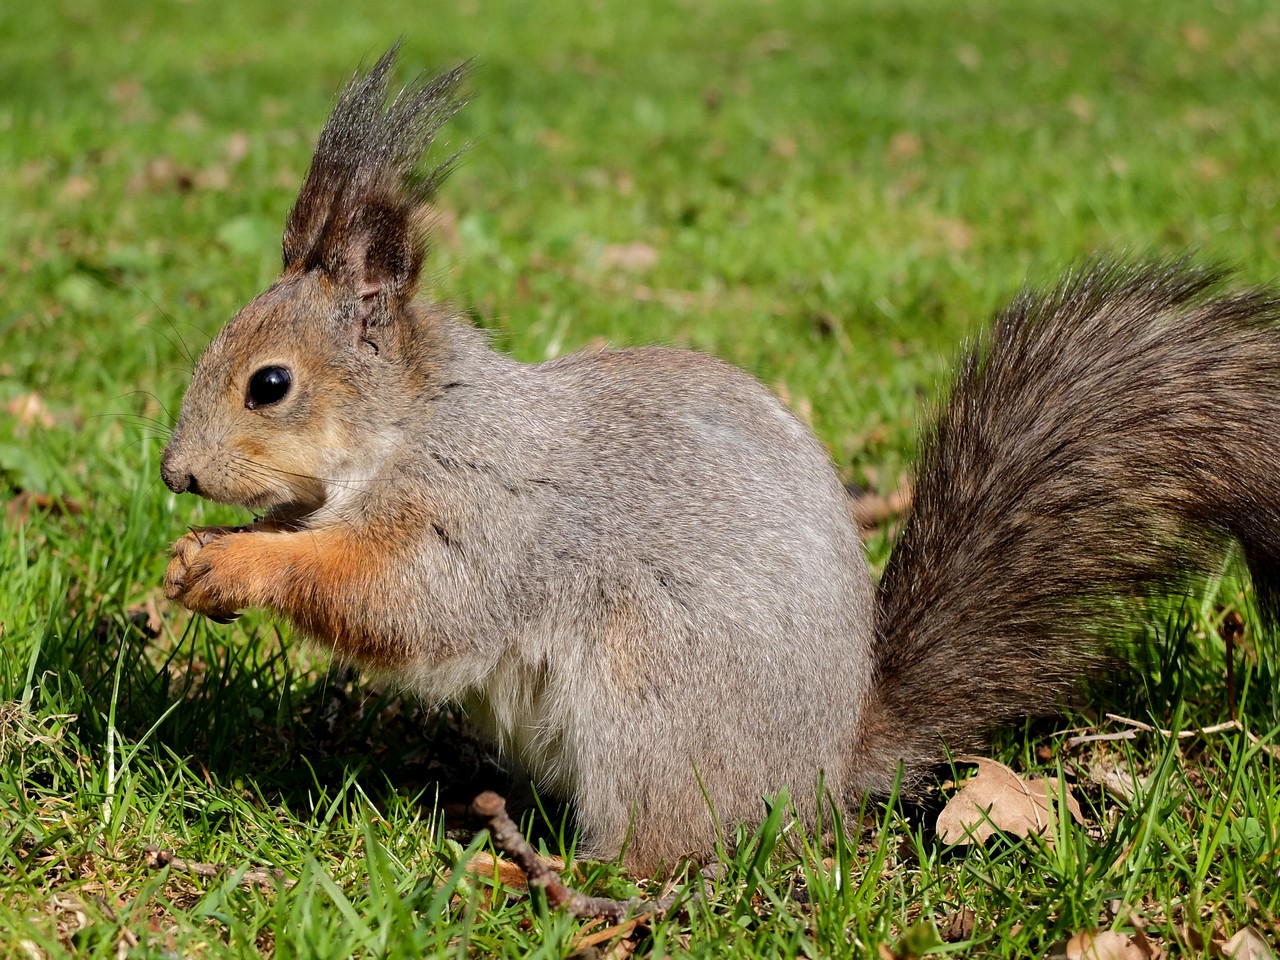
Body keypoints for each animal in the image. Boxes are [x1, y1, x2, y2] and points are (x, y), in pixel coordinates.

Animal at [157, 47, 1280, 880]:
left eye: (269, 385)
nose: (174, 475)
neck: (413, 426)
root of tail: (825, 766)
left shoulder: (482, 514)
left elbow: (397, 600)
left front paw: (242, 564)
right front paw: (197, 556)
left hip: (650, 711)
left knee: (666, 851)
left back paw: (546, 873)